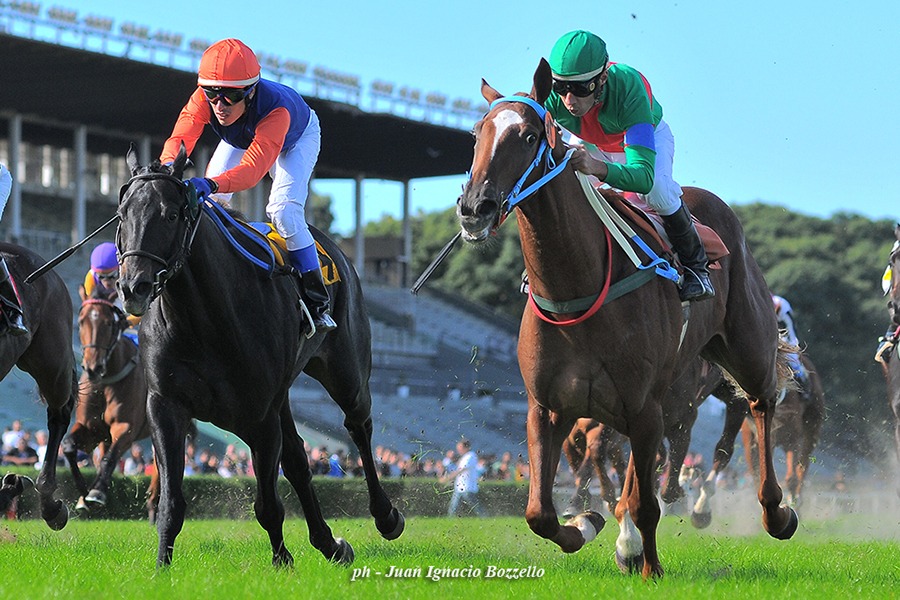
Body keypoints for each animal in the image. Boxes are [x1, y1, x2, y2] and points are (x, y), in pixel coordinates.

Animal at [63, 286, 156, 517]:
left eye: (108, 323)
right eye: (82, 321)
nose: (93, 367)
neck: (107, 381)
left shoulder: (126, 428)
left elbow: (111, 457)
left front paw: (96, 492)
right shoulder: (92, 428)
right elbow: (69, 446)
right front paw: (84, 492)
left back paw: (154, 502)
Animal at [114, 145, 404, 567]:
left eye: (170, 215)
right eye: (123, 215)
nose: (133, 286)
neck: (202, 318)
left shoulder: (260, 413)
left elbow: (268, 504)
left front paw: (282, 561)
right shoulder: (166, 405)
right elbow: (172, 502)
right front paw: (161, 568)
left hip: (345, 370)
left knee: (358, 427)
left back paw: (385, 516)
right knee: (299, 459)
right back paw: (329, 543)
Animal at [456, 59, 796, 578]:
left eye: (530, 136)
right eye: (477, 133)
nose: (476, 207)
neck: (577, 290)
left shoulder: (644, 407)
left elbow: (646, 501)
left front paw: (649, 565)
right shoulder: (549, 407)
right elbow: (539, 511)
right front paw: (586, 523)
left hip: (745, 349)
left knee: (759, 406)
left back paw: (774, 511)